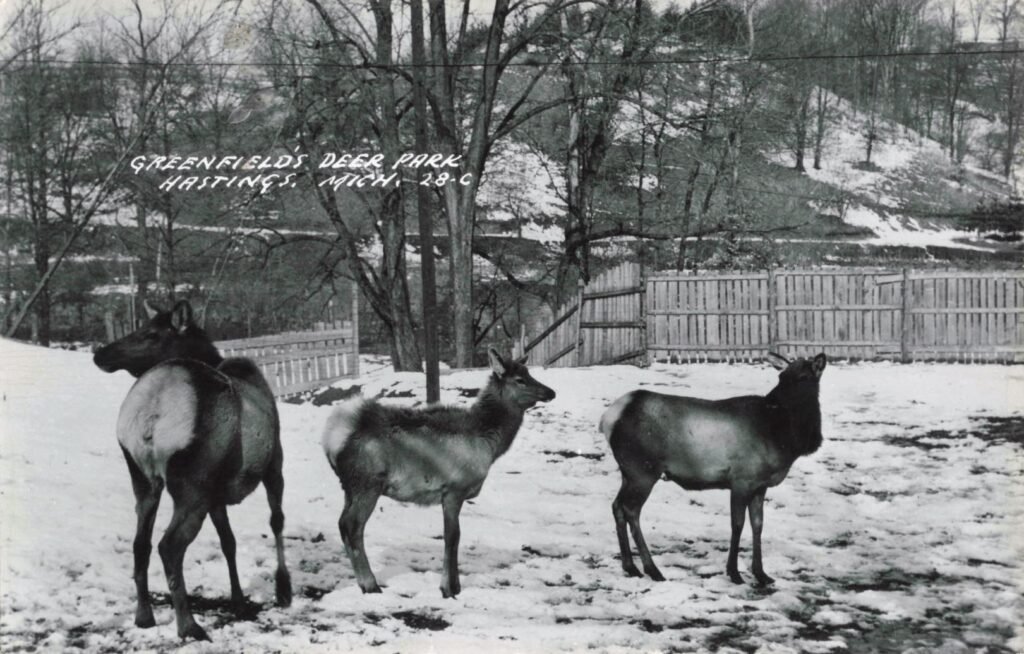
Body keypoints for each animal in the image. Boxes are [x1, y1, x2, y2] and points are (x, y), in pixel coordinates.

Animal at [92, 300, 292, 641]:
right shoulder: (273, 463)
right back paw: (188, 625)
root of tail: (152, 409)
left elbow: (229, 542)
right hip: (191, 484)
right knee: (169, 546)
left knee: (141, 543)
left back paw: (144, 616)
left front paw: (239, 599)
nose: (100, 353)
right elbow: (276, 521)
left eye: (151, 333)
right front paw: (283, 590)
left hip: (143, 477)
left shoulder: (217, 492)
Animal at [321, 348, 556, 599]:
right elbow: (452, 537)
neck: (488, 444)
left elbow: (455, 537)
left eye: (529, 373)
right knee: (352, 526)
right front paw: (448, 589)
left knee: (342, 523)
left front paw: (456, 586)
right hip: (367, 483)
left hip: (350, 487)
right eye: (520, 379)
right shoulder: (454, 489)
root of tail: (333, 436)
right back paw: (370, 584)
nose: (551, 392)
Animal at [599, 352, 827, 586]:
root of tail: (609, 419)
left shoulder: (760, 485)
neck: (783, 440)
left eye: (804, 377)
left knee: (617, 506)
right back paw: (652, 570)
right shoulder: (741, 479)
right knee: (631, 510)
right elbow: (737, 524)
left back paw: (630, 567)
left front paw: (761, 573)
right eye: (781, 376)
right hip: (642, 471)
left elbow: (758, 525)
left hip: (628, 473)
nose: (772, 402)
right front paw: (734, 573)